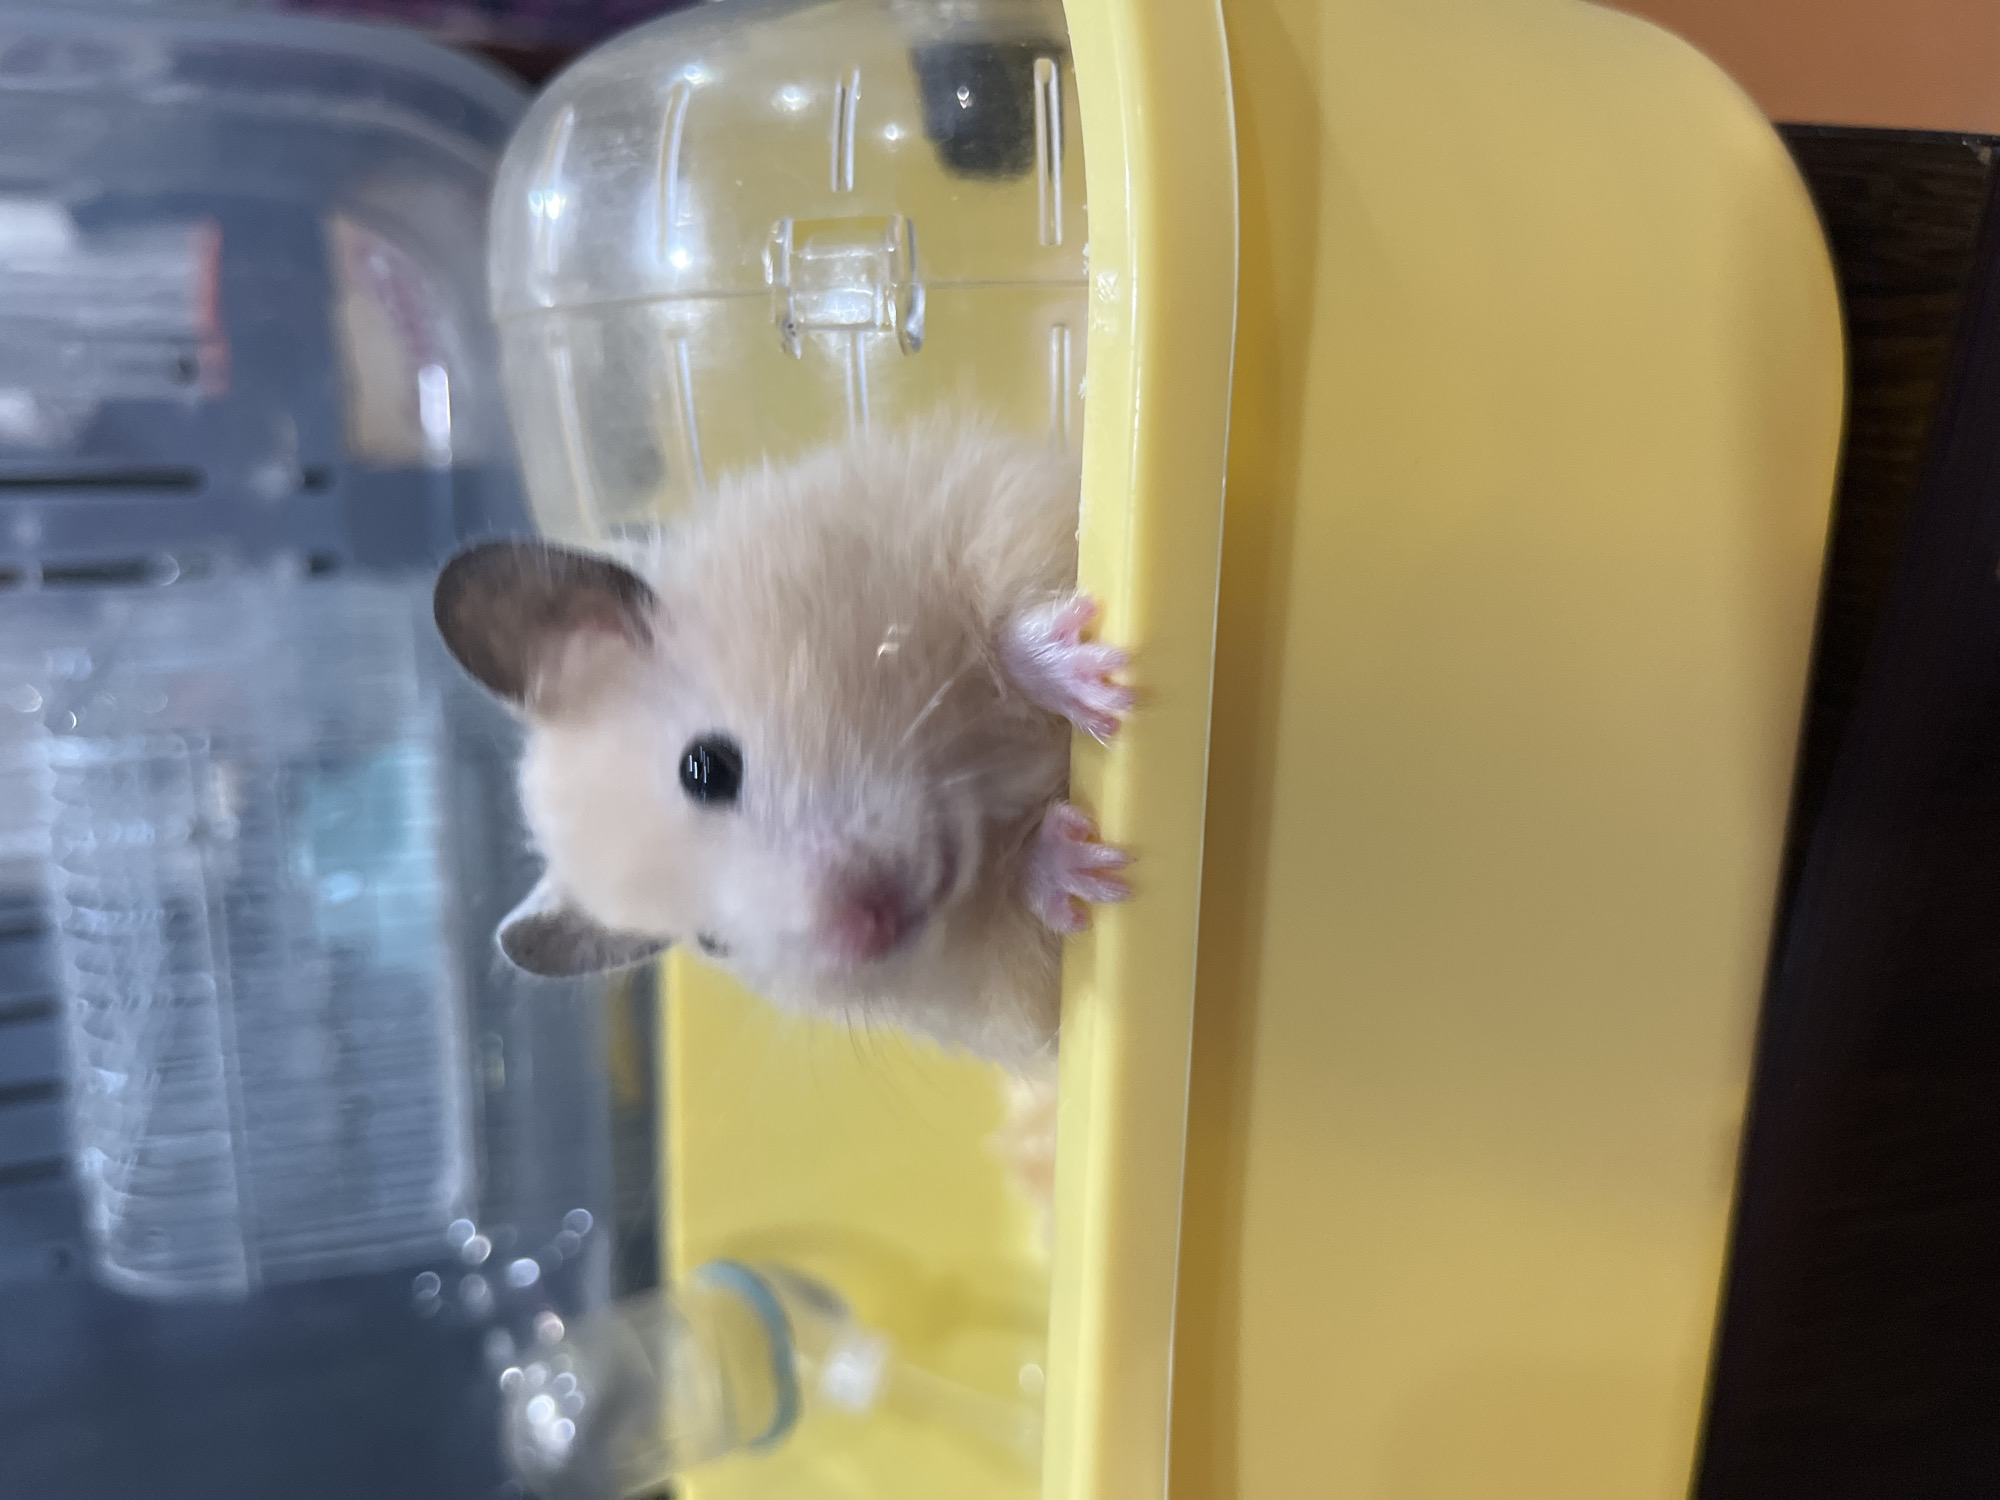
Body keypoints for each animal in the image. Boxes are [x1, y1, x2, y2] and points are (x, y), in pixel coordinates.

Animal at [434, 420, 1132, 1068]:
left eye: (707, 768)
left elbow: (1014, 612)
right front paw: (1087, 864)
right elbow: (1038, 931)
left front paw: (1099, 684)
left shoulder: (993, 510)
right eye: (712, 942)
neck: (970, 768)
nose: (873, 925)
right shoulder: (1015, 994)